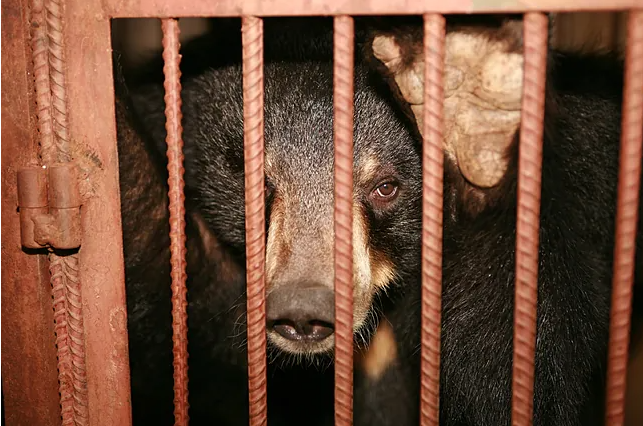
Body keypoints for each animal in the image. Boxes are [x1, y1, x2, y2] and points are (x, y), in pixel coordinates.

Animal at [114, 13, 643, 426]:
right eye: (252, 179)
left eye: (385, 187)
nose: (304, 312)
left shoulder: (594, 176)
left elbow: (512, 371)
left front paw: (472, 111)